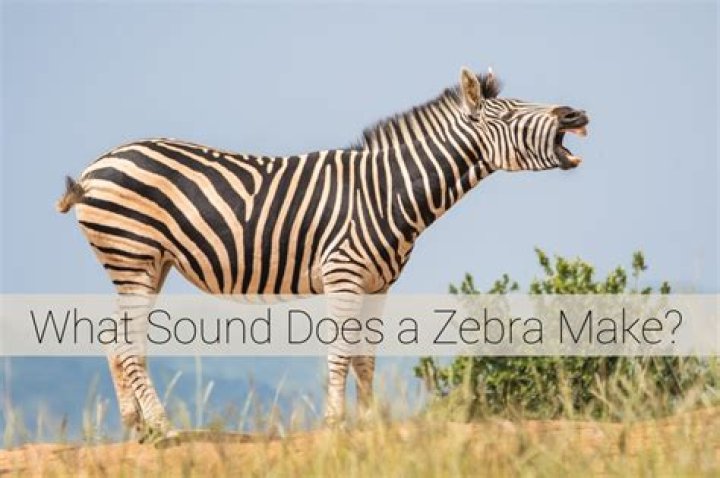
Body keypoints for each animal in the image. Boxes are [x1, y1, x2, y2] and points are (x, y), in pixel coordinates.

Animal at [56, 66, 588, 441]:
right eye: (510, 114)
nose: (575, 115)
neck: (388, 192)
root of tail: (96, 166)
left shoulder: (379, 284)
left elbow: (365, 357)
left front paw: (370, 423)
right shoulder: (343, 273)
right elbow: (339, 352)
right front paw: (335, 423)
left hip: (149, 263)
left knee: (117, 341)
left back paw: (138, 428)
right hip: (132, 254)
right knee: (128, 345)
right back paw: (165, 429)